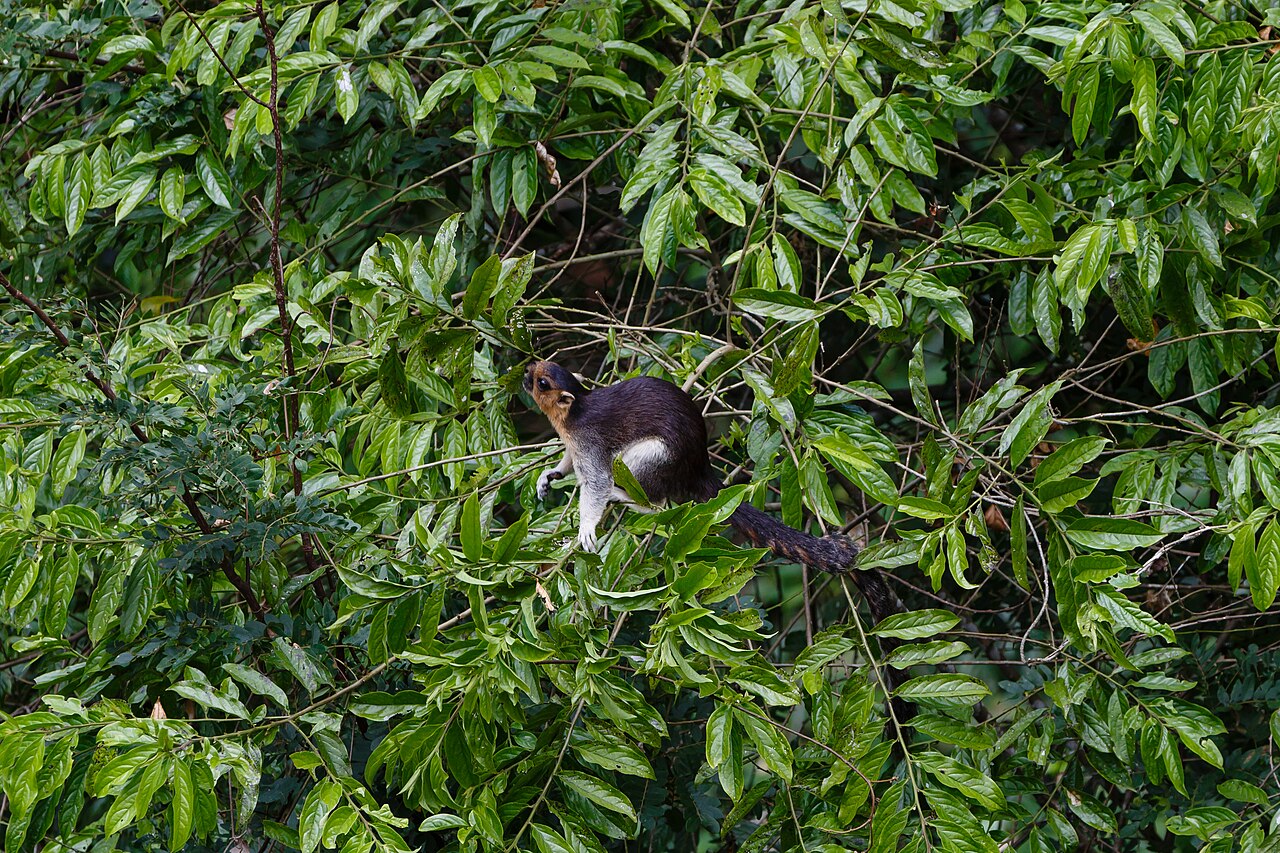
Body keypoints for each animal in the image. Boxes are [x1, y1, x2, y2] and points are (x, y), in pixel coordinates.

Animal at [522, 360, 903, 627]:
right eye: (539, 367)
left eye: (542, 382)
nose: (524, 372)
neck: (573, 415)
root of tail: (699, 468)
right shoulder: (574, 446)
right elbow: (567, 464)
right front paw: (550, 476)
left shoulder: (590, 443)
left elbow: (596, 482)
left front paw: (587, 528)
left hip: (650, 458)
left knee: (654, 499)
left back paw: (628, 498)